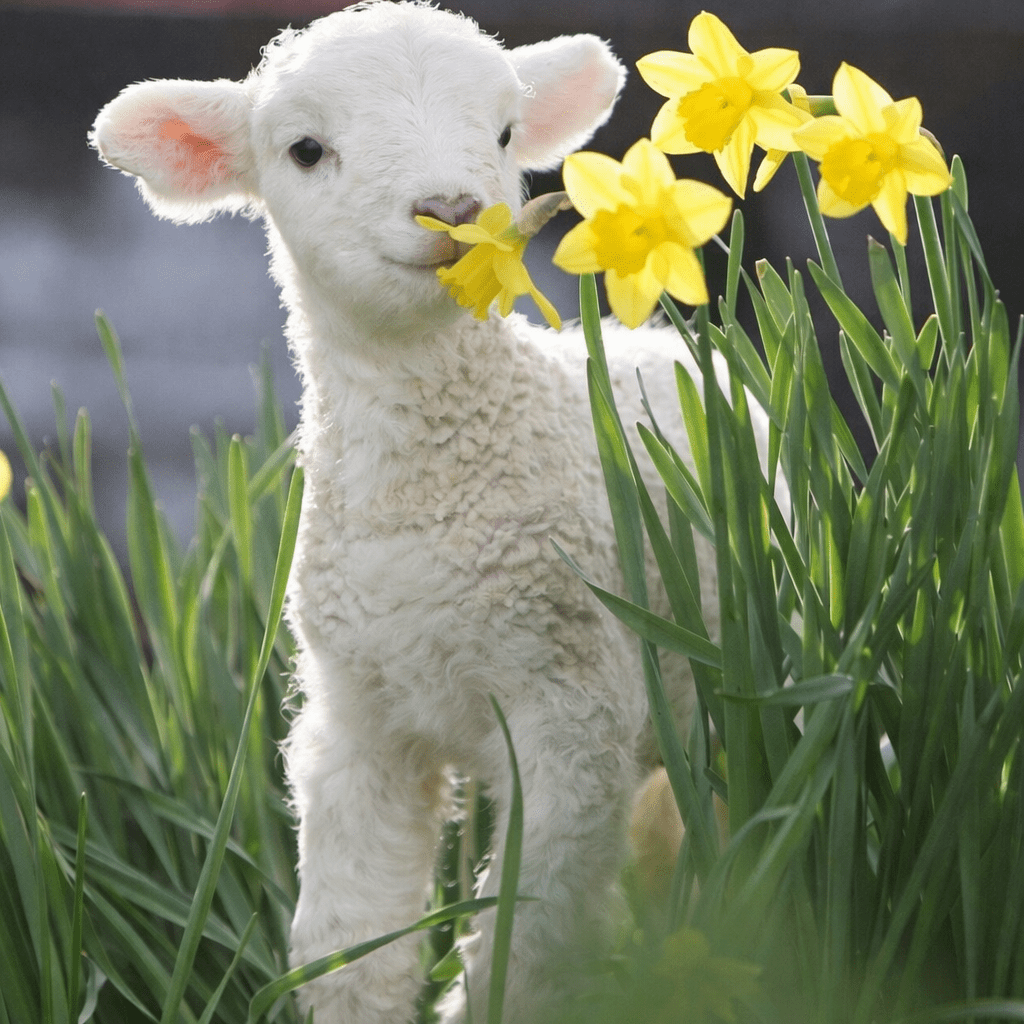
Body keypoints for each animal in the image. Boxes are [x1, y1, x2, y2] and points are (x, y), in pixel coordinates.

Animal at [89, 3, 754, 1020]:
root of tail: (651, 342)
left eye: (506, 134)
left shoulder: (574, 712)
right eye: (306, 149)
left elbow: (525, 947)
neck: (431, 501)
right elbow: (350, 944)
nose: (453, 210)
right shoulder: (358, 719)